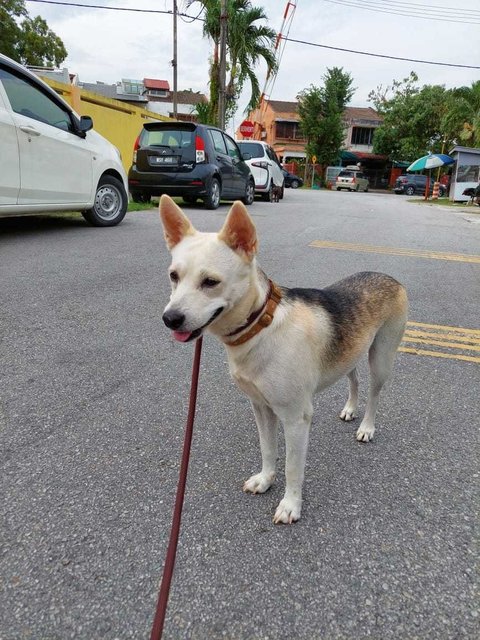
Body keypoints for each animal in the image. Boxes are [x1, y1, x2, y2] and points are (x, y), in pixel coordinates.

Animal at [159, 196, 406, 524]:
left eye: (210, 282)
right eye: (174, 276)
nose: (170, 319)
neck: (260, 326)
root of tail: (390, 277)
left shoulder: (295, 417)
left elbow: (292, 467)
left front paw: (291, 505)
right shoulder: (261, 407)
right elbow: (267, 449)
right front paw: (266, 480)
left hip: (381, 359)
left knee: (375, 394)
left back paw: (366, 426)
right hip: (349, 355)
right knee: (353, 379)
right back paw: (350, 409)